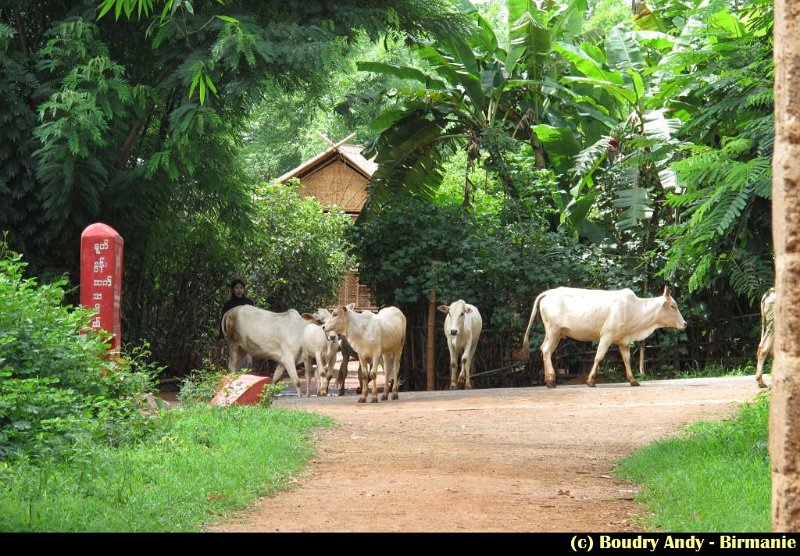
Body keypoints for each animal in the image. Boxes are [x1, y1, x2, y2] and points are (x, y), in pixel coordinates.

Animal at [520, 286, 688, 386]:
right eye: (673, 306)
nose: (685, 324)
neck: (635, 310)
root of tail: (549, 292)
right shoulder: (607, 335)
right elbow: (598, 357)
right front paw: (590, 380)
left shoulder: (623, 340)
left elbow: (627, 359)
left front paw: (633, 380)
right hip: (553, 330)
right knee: (546, 350)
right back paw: (550, 381)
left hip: (557, 333)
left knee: (545, 350)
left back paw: (549, 379)